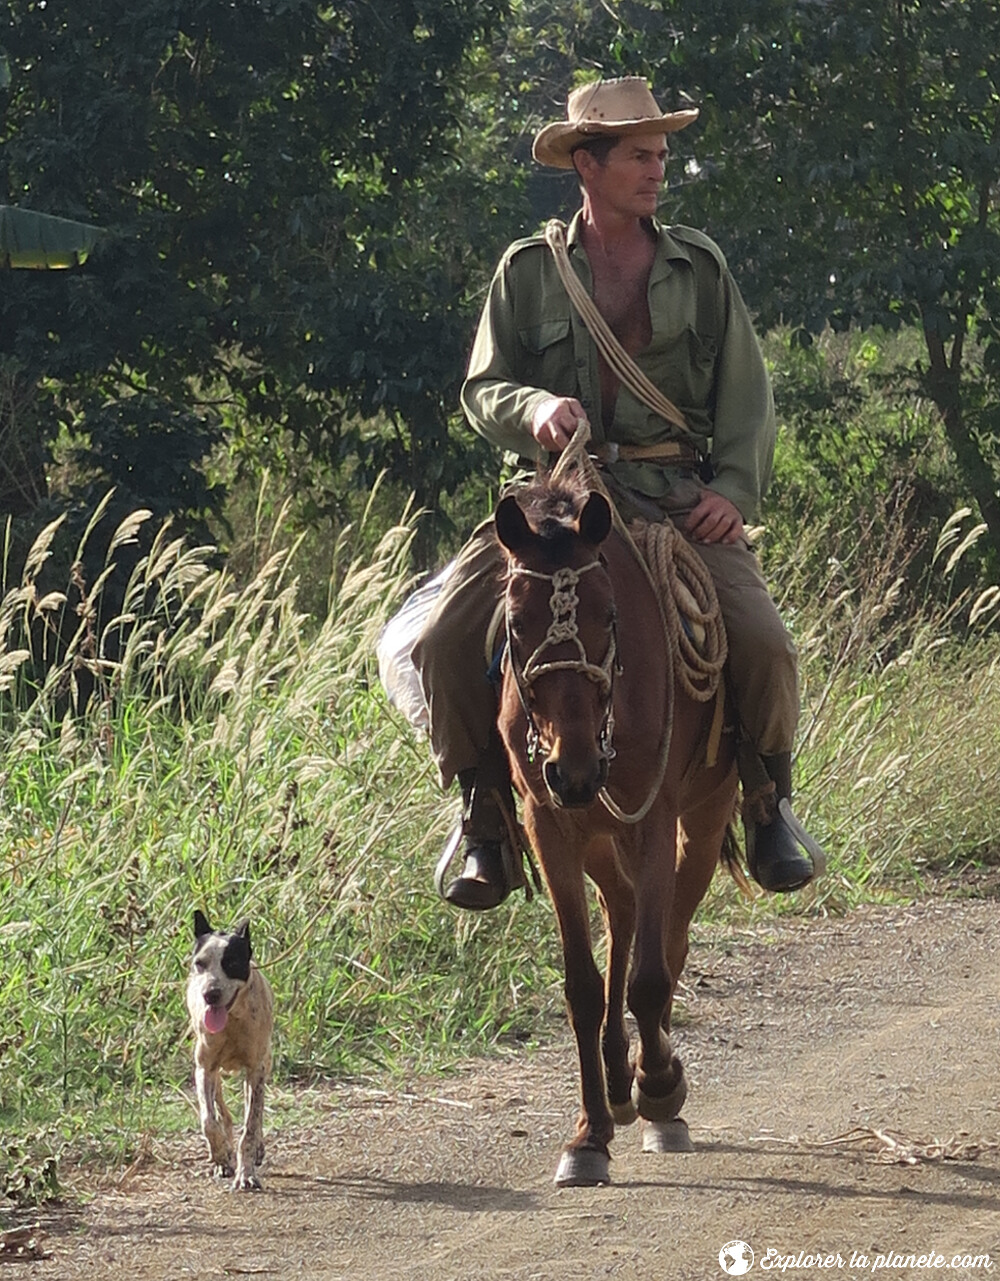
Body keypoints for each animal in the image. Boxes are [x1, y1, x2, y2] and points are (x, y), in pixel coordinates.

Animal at [185, 912, 272, 1188]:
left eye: (232, 962)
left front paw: (246, 1173)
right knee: (222, 1111)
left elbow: (251, 1125)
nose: (210, 994)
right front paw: (222, 1157)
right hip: (214, 1074)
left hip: (265, 1062)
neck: (232, 1021)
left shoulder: (256, 1070)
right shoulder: (204, 1068)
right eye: (199, 963)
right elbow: (208, 1122)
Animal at [494, 476, 737, 1183]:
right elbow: (583, 985)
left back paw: (653, 1086)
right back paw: (616, 1078)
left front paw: (660, 1084)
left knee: (669, 941)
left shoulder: (653, 820)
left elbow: (651, 977)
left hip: (701, 821)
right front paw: (588, 1134)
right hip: (600, 840)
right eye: (515, 623)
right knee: (624, 913)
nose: (572, 770)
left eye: (608, 616)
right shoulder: (551, 826)